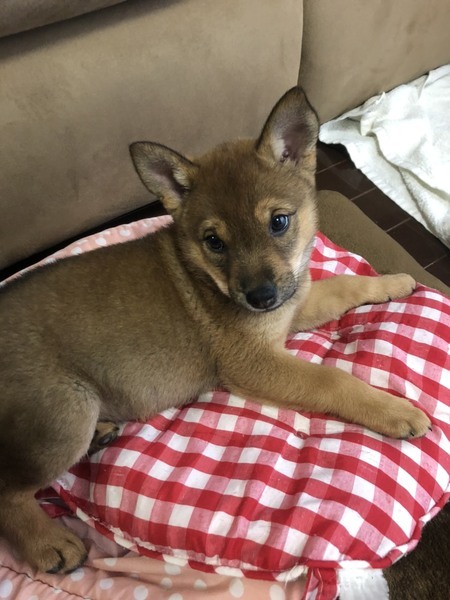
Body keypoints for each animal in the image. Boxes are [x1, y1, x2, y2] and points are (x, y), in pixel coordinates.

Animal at [0, 87, 431, 574]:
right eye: (214, 242)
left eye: (278, 222)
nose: (260, 297)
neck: (205, 276)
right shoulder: (254, 362)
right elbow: (331, 379)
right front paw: (394, 410)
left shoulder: (292, 305)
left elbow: (342, 285)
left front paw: (392, 281)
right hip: (65, 414)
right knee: (6, 491)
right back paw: (49, 543)